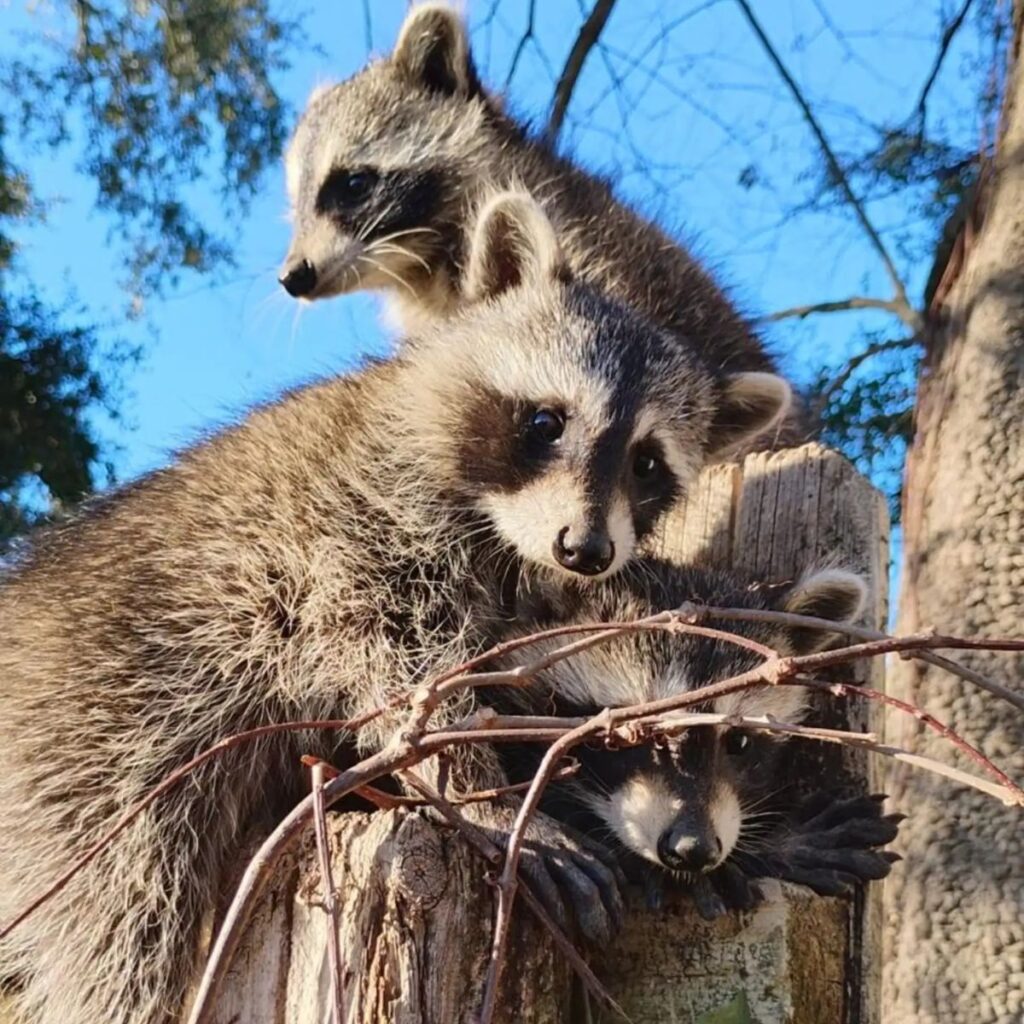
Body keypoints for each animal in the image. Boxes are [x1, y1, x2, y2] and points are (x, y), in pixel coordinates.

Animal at [0, 193, 782, 1024]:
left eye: (647, 464)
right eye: (546, 423)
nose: (587, 550)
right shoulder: (354, 530)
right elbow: (401, 671)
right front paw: (482, 794)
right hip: (92, 748)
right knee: (123, 923)